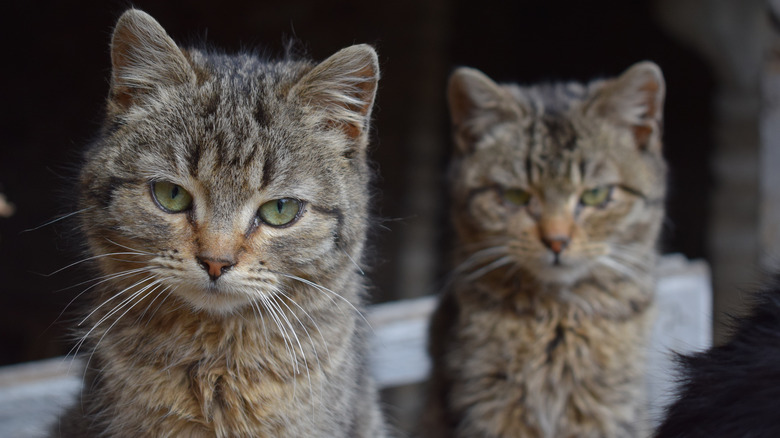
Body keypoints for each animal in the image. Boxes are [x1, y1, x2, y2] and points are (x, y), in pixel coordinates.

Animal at [426, 62, 672, 438]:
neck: (559, 314)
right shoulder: (484, 404)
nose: (557, 240)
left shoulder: (608, 410)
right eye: (515, 196)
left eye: (595, 194)